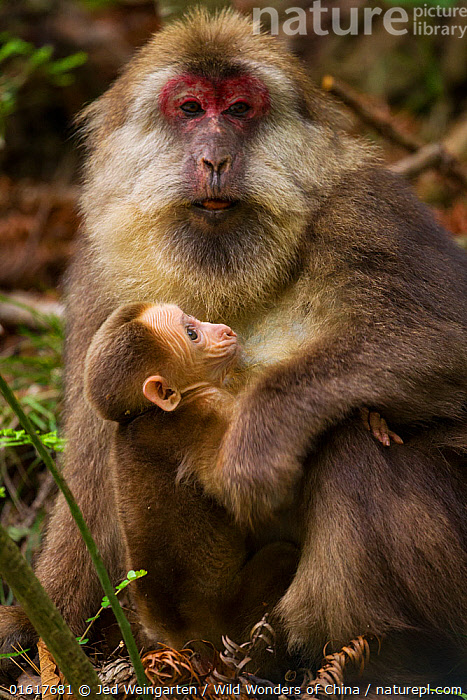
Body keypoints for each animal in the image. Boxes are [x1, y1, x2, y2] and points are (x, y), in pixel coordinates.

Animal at [1, 8, 466, 686]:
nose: (216, 155)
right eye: (192, 108)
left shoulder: (368, 210)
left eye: (241, 108)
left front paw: (258, 438)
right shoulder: (97, 276)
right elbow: (90, 457)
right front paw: (42, 627)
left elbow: (441, 336)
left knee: (354, 448)